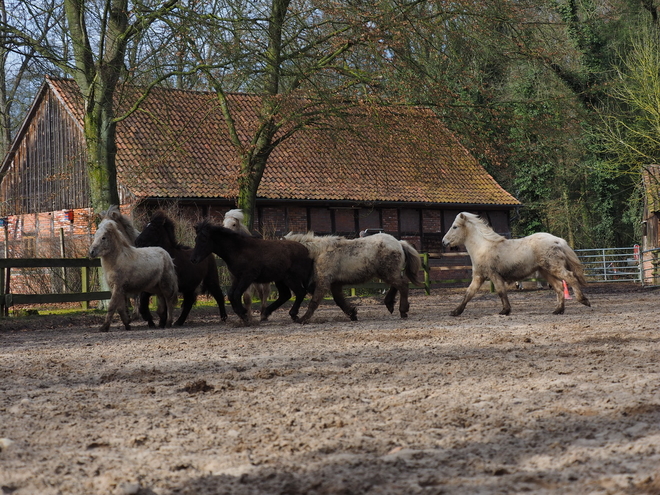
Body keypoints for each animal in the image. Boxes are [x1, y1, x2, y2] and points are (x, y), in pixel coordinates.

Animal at [284, 233, 422, 326]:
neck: (318, 253)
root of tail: (399, 243)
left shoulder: (323, 282)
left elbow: (314, 302)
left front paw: (303, 319)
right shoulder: (335, 284)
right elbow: (339, 301)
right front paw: (352, 314)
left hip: (387, 273)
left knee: (403, 285)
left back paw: (402, 310)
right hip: (387, 273)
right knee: (397, 285)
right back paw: (389, 303)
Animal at [440, 211, 592, 316]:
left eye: (455, 227)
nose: (444, 241)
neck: (483, 247)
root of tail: (558, 240)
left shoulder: (494, 275)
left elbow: (501, 292)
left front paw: (505, 311)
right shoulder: (479, 277)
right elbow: (468, 293)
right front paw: (455, 312)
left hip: (554, 268)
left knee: (570, 278)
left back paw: (583, 301)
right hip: (545, 271)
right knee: (559, 287)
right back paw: (558, 310)